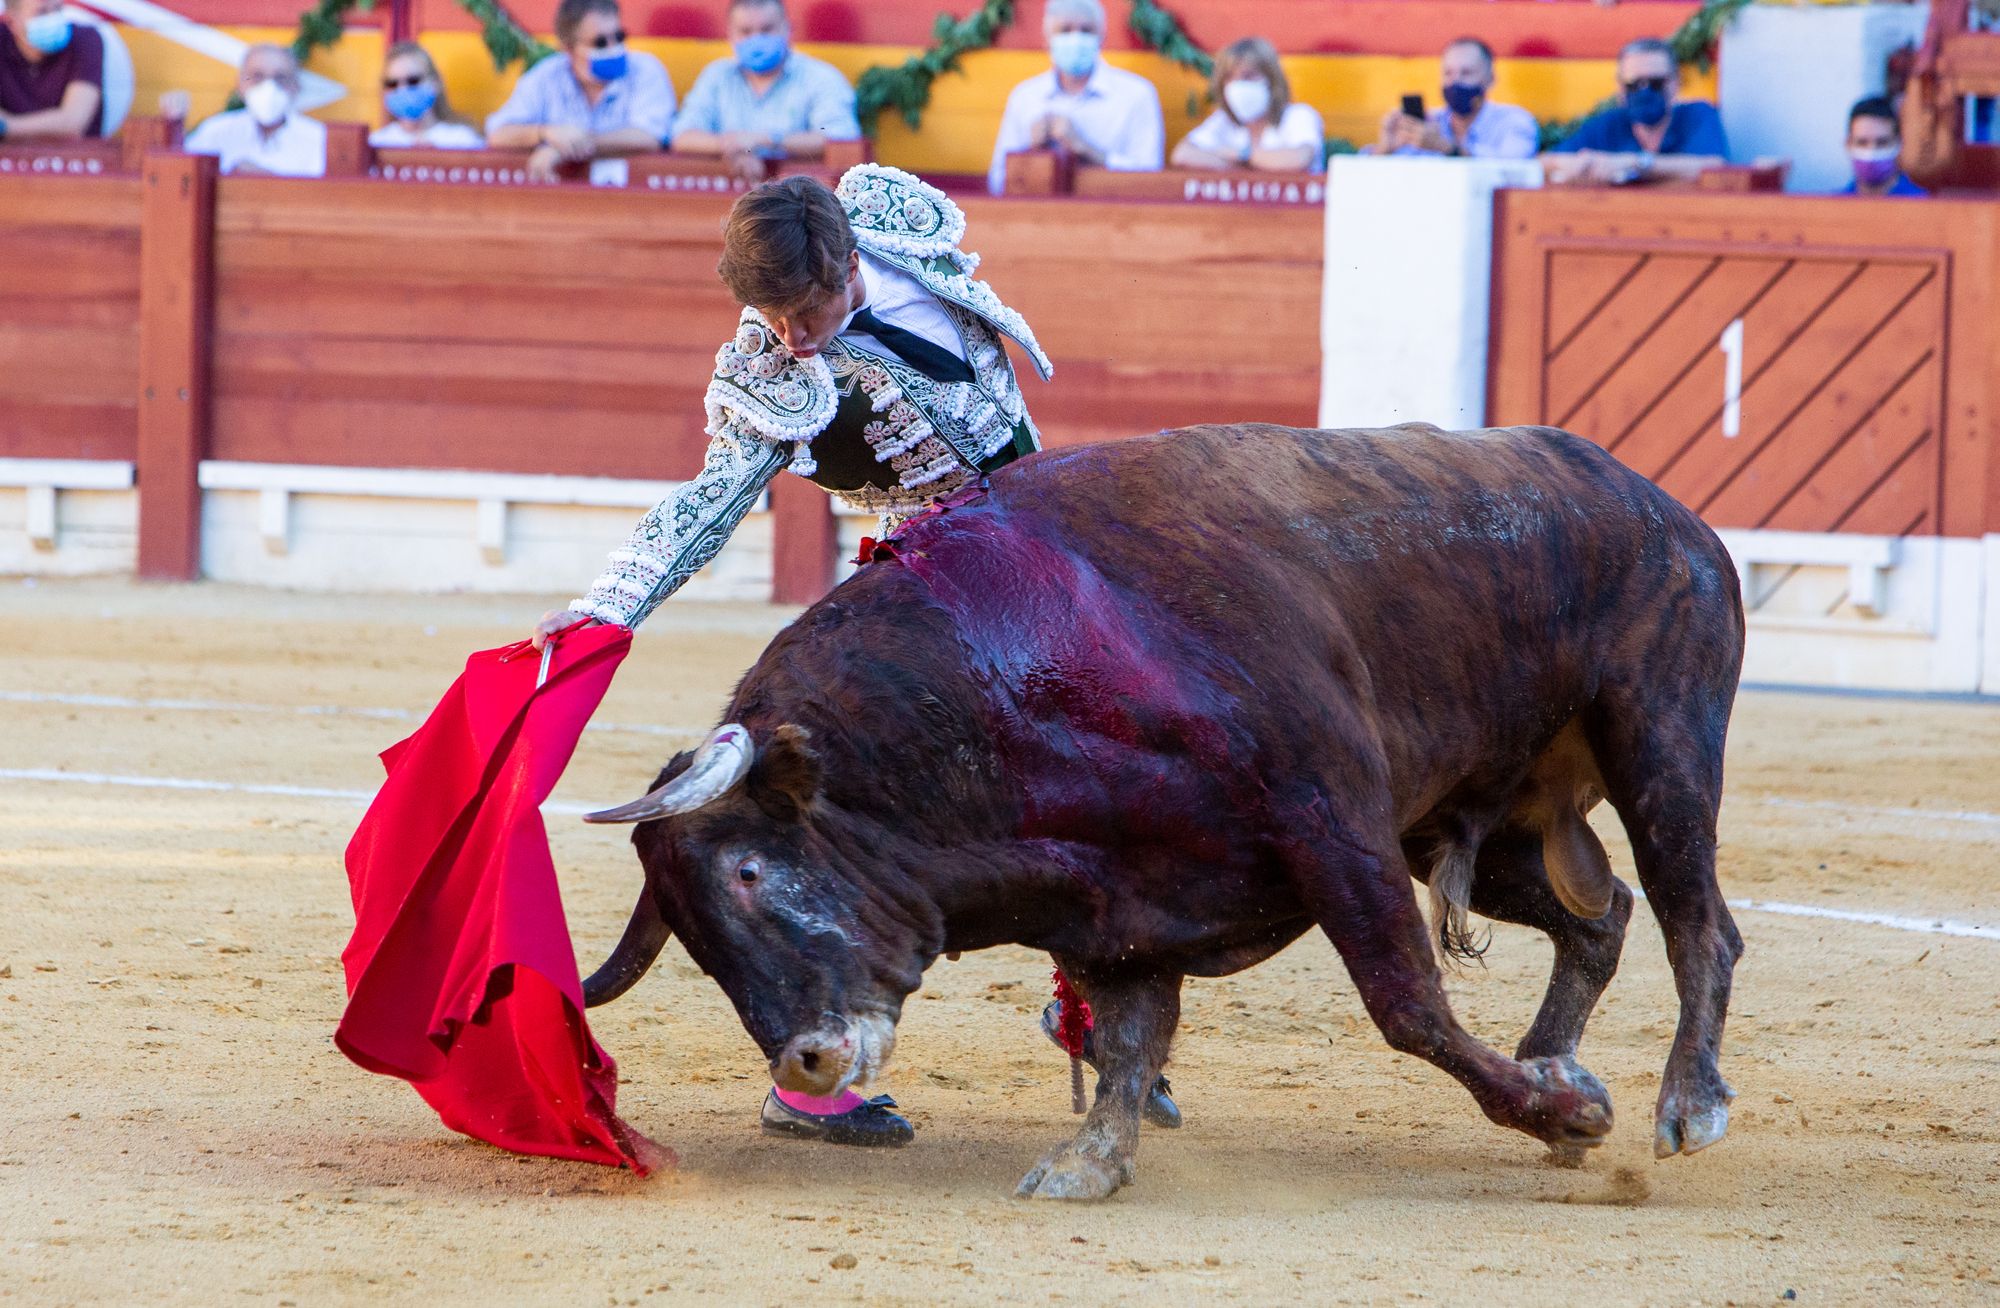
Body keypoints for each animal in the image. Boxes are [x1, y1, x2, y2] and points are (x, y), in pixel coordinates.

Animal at [576, 426, 1736, 1208]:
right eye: (693, 941)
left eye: (747, 874)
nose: (803, 1063)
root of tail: (1662, 507)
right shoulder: (1115, 901)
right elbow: (1130, 1037)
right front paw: (1089, 1160)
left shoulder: (1334, 822)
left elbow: (1405, 1004)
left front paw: (1568, 1116)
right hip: (1470, 825)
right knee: (1601, 914)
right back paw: (1555, 1060)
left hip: (1660, 737)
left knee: (1695, 921)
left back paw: (1681, 1103)